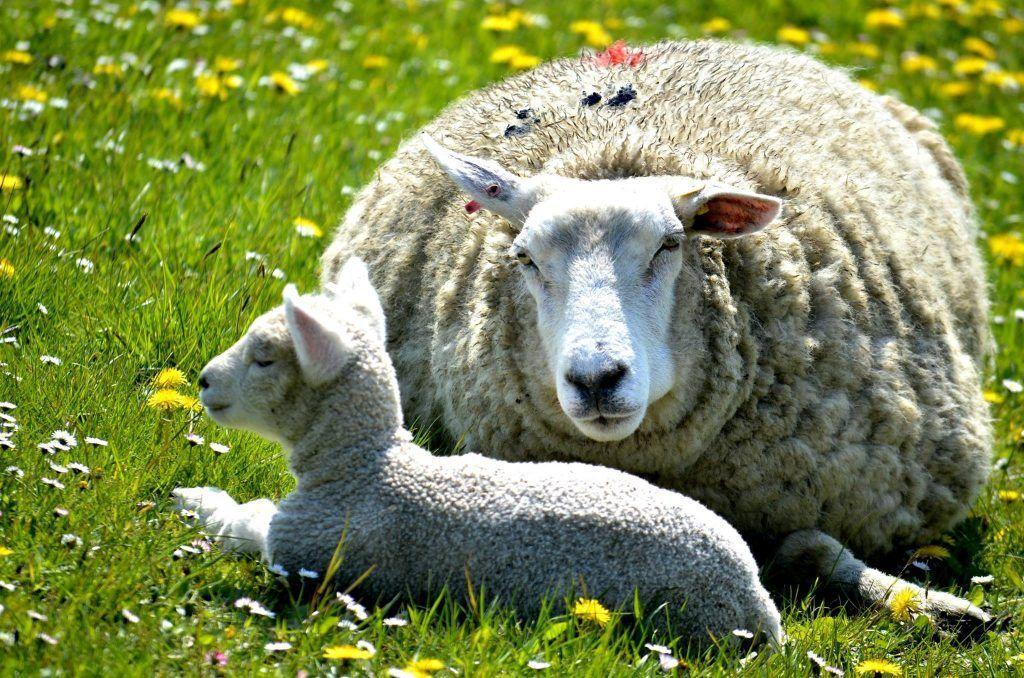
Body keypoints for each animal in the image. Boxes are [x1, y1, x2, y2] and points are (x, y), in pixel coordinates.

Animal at [173, 259, 784, 648]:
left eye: (264, 358)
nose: (203, 380)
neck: (364, 469)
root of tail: (759, 605)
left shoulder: (308, 553)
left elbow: (246, 524)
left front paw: (196, 500)